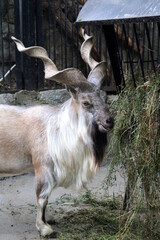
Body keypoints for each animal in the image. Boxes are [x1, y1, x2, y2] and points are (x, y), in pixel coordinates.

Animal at [0, 30, 114, 236]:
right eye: (86, 102)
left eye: (105, 97)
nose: (109, 121)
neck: (56, 129)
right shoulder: (42, 168)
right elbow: (42, 197)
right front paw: (44, 228)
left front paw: (48, 219)